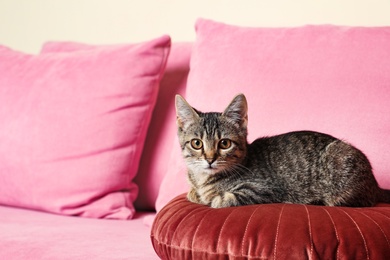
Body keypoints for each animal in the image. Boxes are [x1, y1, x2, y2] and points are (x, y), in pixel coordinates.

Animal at [174, 93, 390, 207]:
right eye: (197, 143)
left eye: (224, 144)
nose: (210, 159)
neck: (203, 180)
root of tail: (375, 185)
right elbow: (193, 193)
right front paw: (196, 194)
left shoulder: (265, 189)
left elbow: (224, 198)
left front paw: (212, 199)